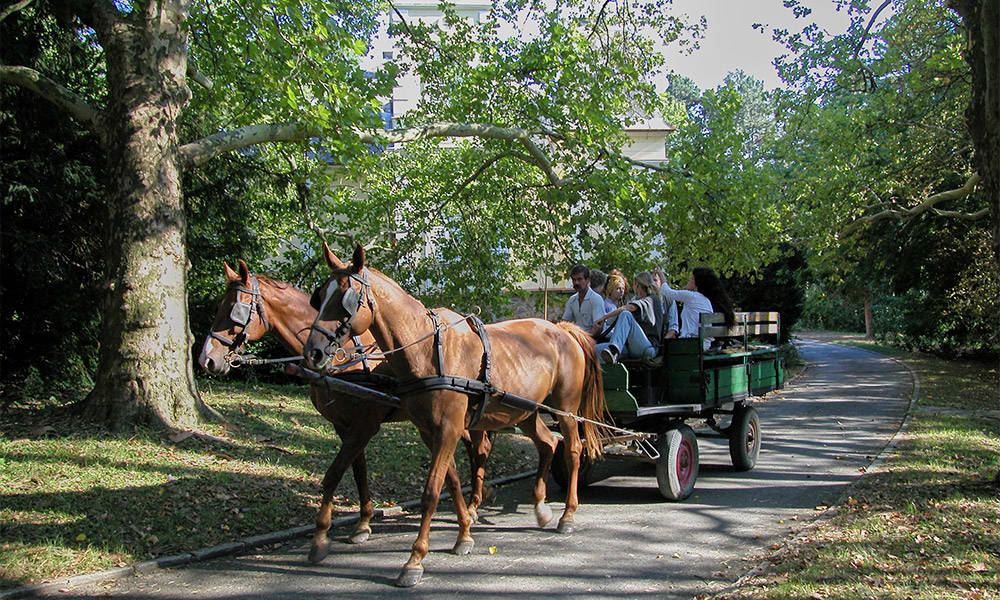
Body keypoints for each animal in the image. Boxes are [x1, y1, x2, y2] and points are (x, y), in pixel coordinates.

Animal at [197, 258, 494, 564]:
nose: (207, 359)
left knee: (479, 449)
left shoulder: (366, 424)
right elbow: (358, 471)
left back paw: (475, 503)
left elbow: (334, 474)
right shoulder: (344, 426)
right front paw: (363, 524)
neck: (346, 358)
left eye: (235, 310)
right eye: (220, 306)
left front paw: (320, 537)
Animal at [300, 244, 604, 584]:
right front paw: (464, 535)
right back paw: (540, 506)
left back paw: (568, 514)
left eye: (345, 299)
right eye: (319, 297)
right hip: (524, 411)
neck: (426, 350)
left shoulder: (444, 428)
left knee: (573, 450)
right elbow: (453, 482)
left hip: (566, 409)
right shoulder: (429, 431)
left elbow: (432, 492)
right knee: (548, 443)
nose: (313, 352)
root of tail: (562, 329)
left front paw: (415, 560)